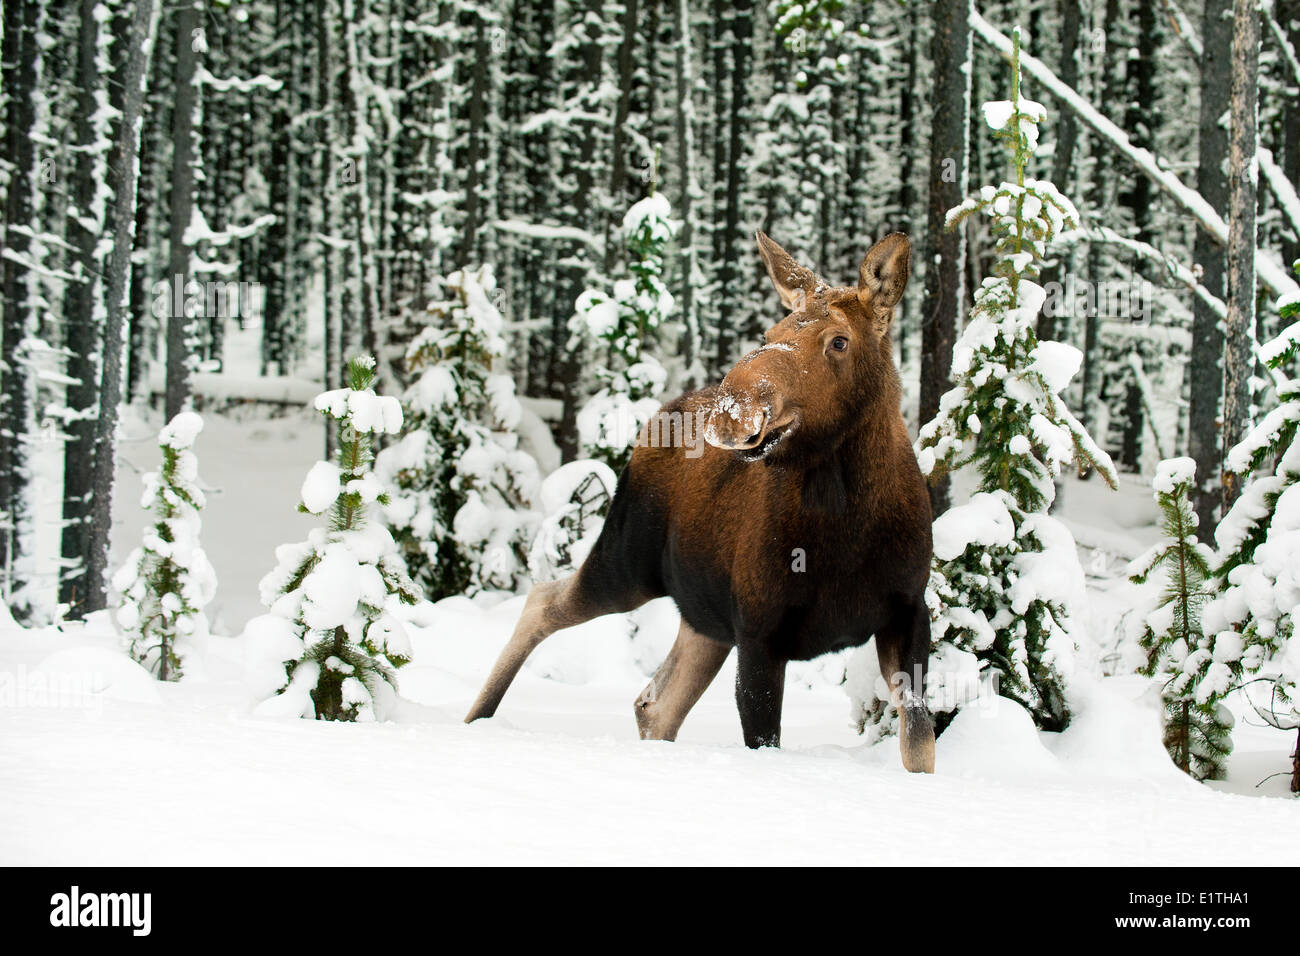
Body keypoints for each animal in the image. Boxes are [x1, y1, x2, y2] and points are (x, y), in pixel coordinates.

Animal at [467, 235, 935, 775]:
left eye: (839, 341)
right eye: (771, 331)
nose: (734, 409)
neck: (846, 523)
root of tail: (657, 419)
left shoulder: (907, 611)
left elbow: (919, 740)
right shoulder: (758, 633)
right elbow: (764, 740)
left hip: (704, 618)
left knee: (654, 702)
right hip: (628, 561)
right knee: (543, 600)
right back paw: (476, 718)